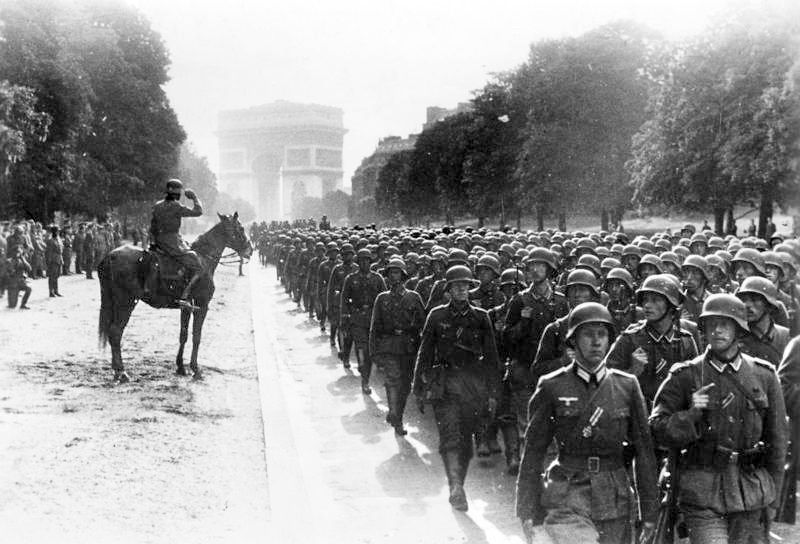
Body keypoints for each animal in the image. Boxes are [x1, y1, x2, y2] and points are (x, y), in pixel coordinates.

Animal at [99, 212, 252, 382]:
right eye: (240, 228)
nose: (250, 250)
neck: (204, 259)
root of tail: (110, 256)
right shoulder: (202, 306)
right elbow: (196, 336)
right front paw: (195, 369)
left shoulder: (186, 307)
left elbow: (183, 335)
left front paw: (180, 367)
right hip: (126, 302)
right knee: (115, 332)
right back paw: (122, 372)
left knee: (112, 332)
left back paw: (116, 370)